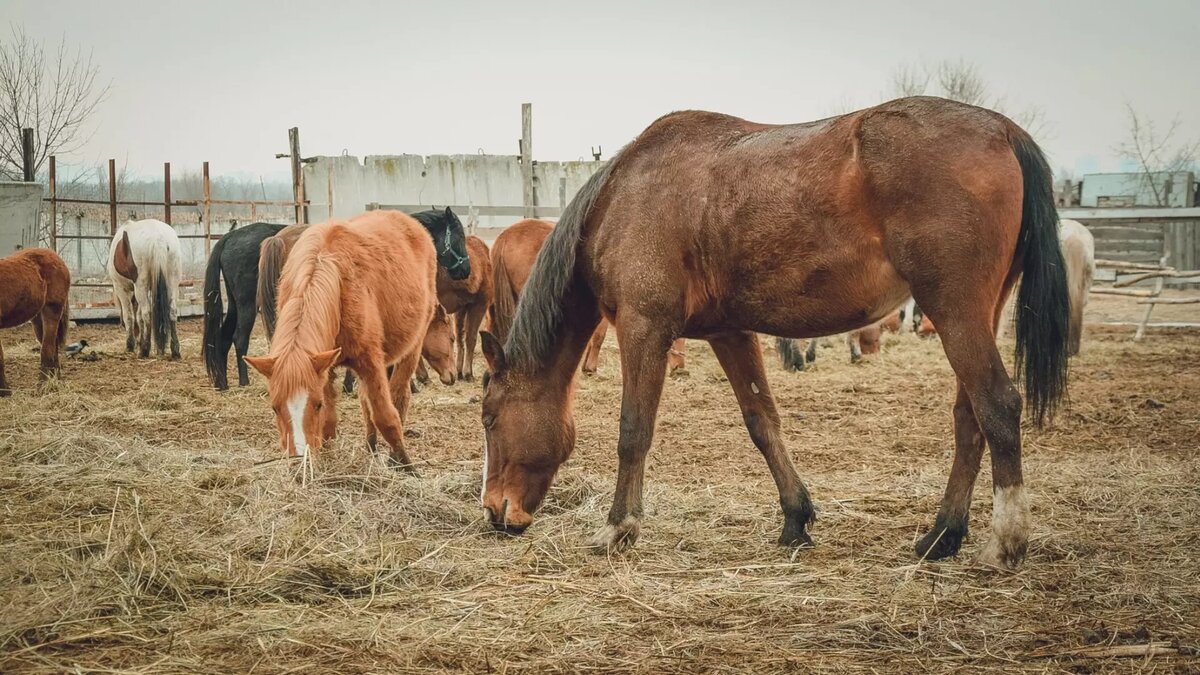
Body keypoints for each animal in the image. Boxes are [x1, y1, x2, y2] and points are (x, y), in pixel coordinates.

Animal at [0, 247, 70, 393]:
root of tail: (55, 256)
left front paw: (4, 390)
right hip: (38, 319)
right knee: (53, 346)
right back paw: (56, 381)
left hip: (52, 311)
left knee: (47, 348)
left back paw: (43, 385)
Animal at [108, 219, 182, 357]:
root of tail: (158, 238)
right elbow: (139, 316)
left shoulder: (121, 288)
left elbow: (129, 316)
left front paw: (130, 345)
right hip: (173, 282)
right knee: (172, 310)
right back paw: (175, 350)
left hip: (140, 286)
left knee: (147, 312)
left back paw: (144, 350)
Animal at [204, 220, 285, 389]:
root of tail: (230, 235)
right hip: (247, 303)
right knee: (240, 338)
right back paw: (244, 381)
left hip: (235, 304)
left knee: (224, 337)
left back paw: (223, 383)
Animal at [247, 208, 441, 461]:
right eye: (274, 406)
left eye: (316, 404)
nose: (299, 457)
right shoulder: (324, 366)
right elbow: (330, 422)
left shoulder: (370, 362)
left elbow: (386, 417)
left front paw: (405, 462)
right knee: (366, 402)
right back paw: (370, 445)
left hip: (412, 347)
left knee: (399, 396)